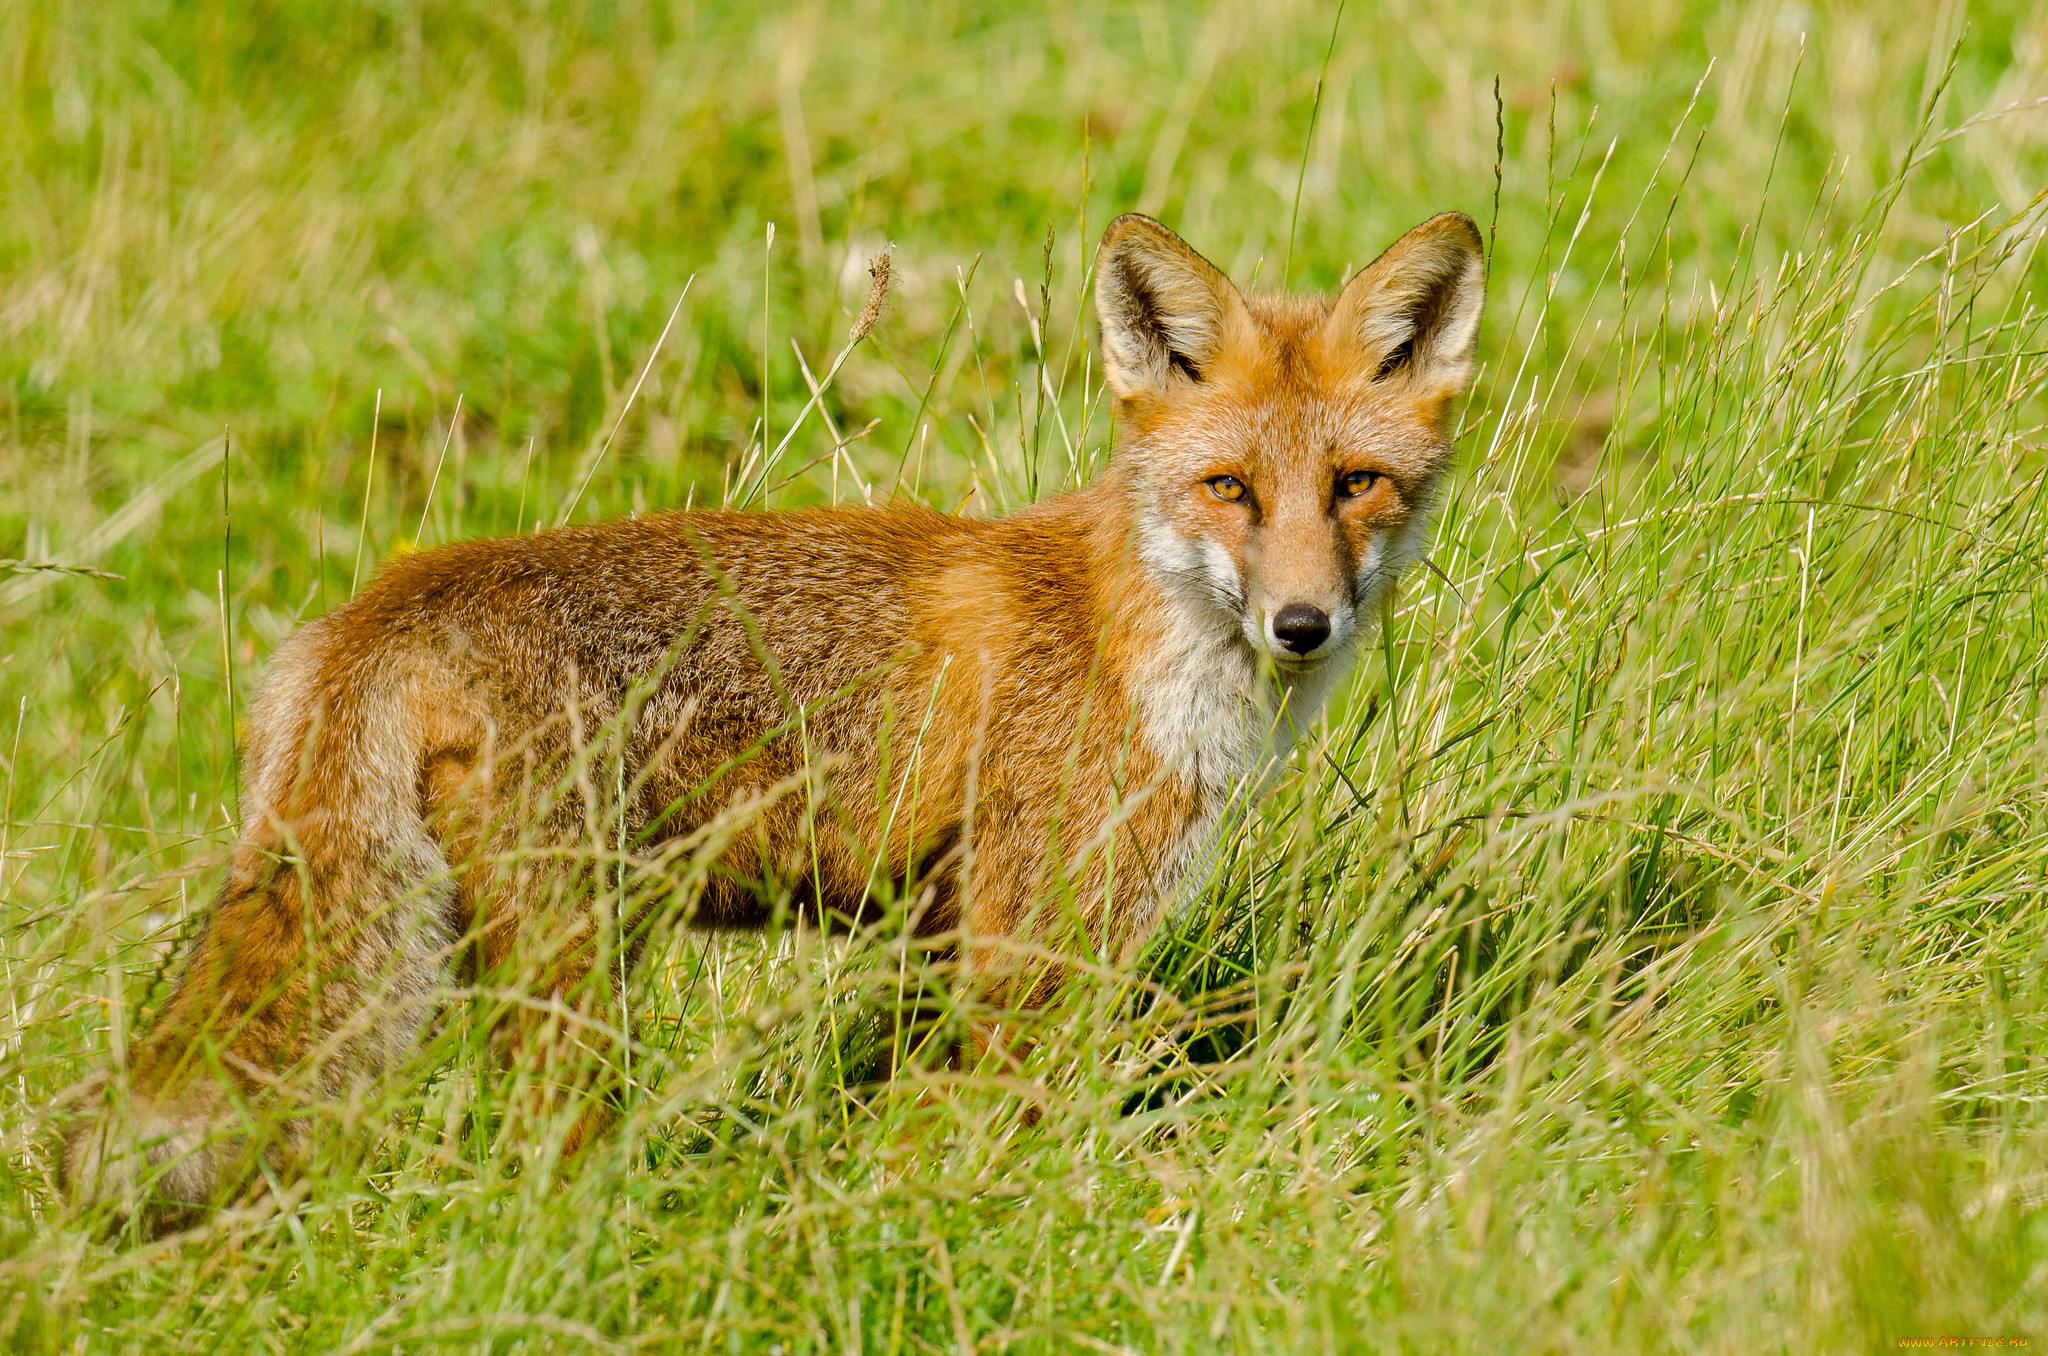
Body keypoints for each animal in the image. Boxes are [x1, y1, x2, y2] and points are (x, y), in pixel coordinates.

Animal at [56, 209, 1482, 1229]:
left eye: (1355, 485)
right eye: (1228, 488)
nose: (1301, 624)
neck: (1135, 646)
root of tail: (391, 597)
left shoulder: (944, 937)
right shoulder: (1030, 950)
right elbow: (993, 1149)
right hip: (577, 973)